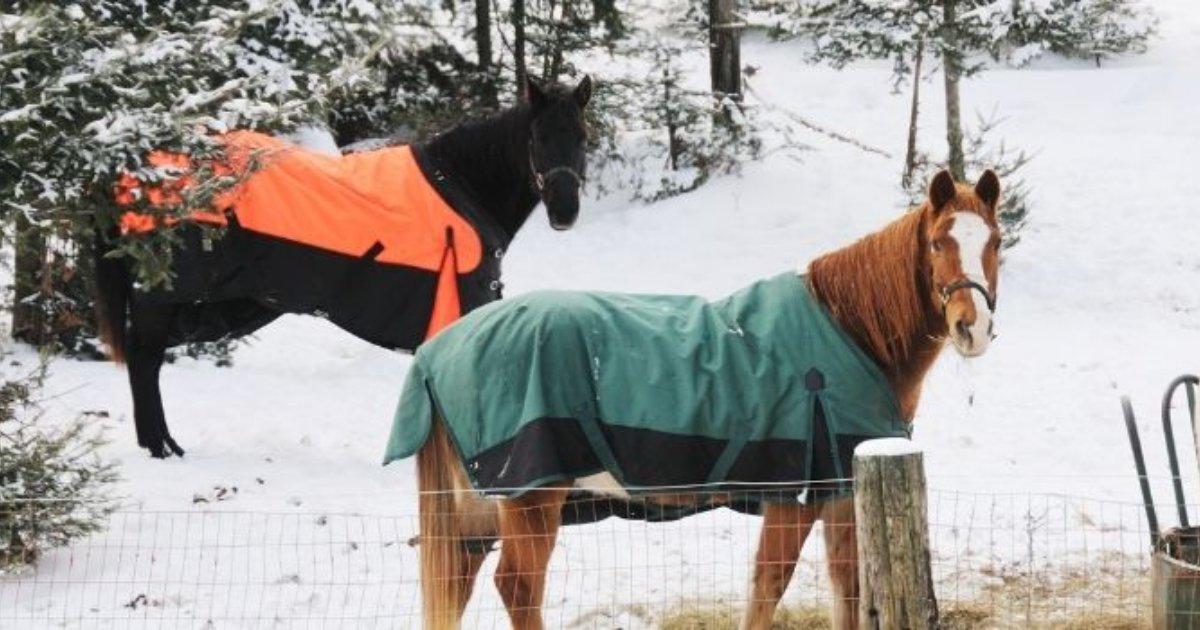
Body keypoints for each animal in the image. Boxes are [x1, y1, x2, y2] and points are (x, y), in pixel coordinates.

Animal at [93, 76, 593, 459]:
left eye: (582, 137)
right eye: (538, 137)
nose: (565, 212)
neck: (463, 188)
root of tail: (139, 169)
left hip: (224, 310)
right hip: (168, 299)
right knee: (144, 359)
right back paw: (159, 449)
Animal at [389, 168, 1003, 629]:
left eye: (995, 242)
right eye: (937, 242)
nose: (972, 327)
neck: (848, 332)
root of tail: (440, 347)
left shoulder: (840, 493)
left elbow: (847, 589)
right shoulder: (792, 497)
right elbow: (768, 585)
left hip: (480, 510)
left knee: (459, 581)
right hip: (531, 500)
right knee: (517, 586)